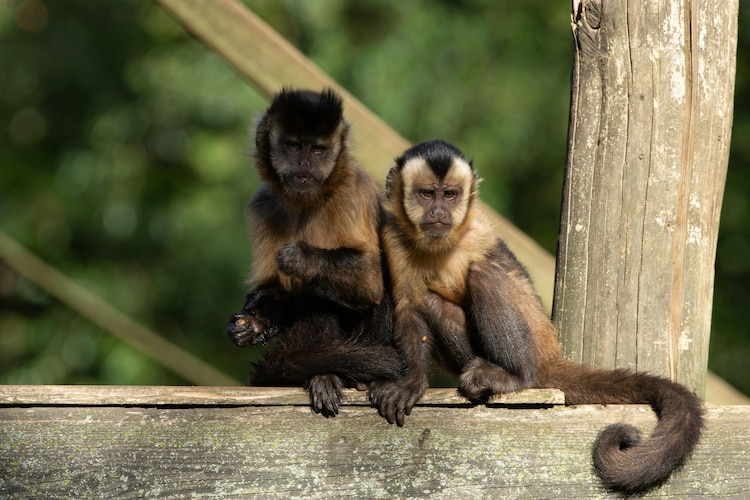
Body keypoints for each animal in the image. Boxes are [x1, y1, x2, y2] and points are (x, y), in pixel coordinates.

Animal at [226, 88, 402, 417]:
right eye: (294, 147)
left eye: (318, 150)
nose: (305, 164)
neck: (307, 200)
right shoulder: (263, 205)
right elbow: (274, 288)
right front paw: (251, 326)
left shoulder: (353, 190)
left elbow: (371, 278)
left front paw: (300, 258)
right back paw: (324, 374)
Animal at [369, 139, 704, 494]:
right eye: (426, 194)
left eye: (449, 195)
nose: (438, 213)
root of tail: (549, 355)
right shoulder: (392, 235)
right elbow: (409, 307)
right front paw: (412, 383)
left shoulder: (477, 230)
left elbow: (508, 268)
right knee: (432, 301)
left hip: (535, 338)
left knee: (483, 273)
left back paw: (517, 376)